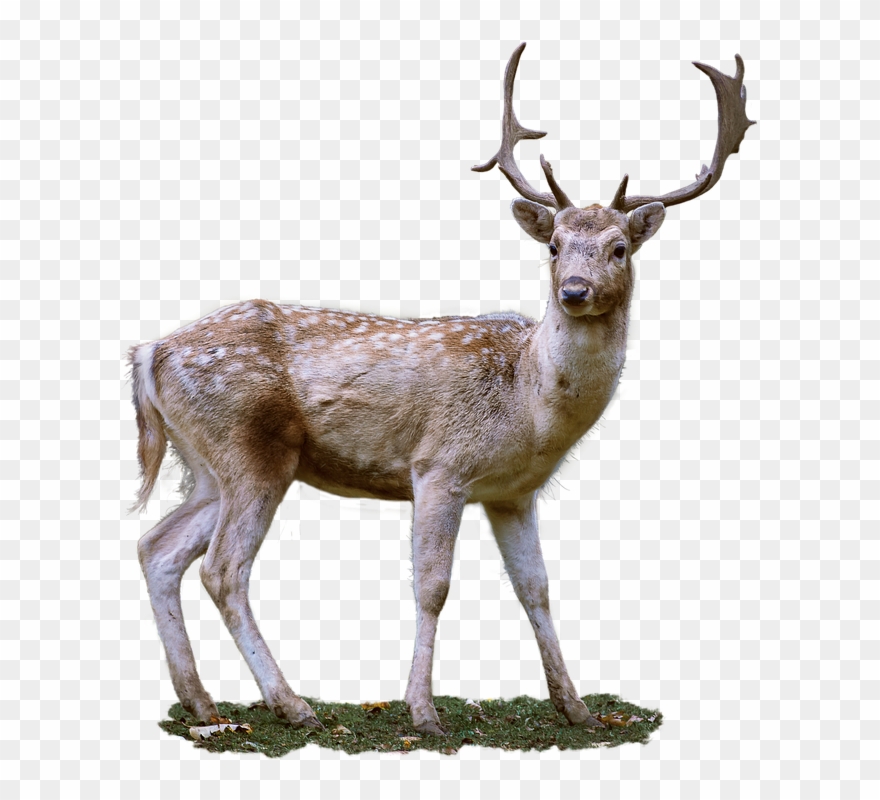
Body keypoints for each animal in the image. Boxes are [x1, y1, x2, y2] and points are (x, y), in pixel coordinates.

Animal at [130, 43, 754, 736]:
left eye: (620, 248)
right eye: (555, 245)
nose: (574, 290)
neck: (531, 406)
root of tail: (149, 352)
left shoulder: (514, 492)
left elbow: (536, 589)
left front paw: (577, 709)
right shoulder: (438, 466)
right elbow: (432, 587)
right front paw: (422, 711)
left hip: (206, 464)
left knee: (157, 548)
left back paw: (200, 701)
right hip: (251, 450)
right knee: (222, 570)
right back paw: (291, 705)